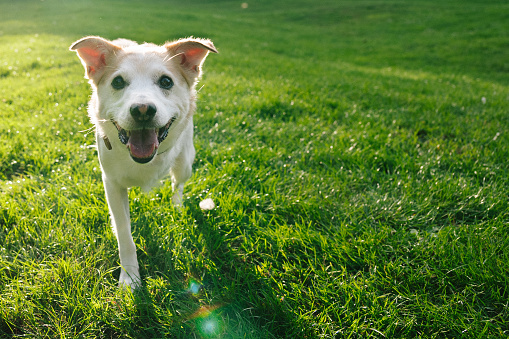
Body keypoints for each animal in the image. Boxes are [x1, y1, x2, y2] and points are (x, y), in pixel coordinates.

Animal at [69, 35, 216, 290]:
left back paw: (177, 205)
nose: (143, 110)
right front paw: (130, 277)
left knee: (178, 183)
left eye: (166, 81)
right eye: (118, 82)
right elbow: (124, 234)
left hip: (185, 163)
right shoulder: (112, 185)